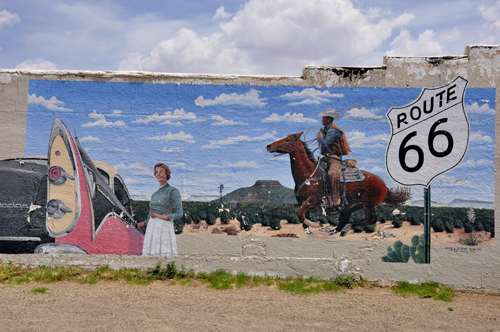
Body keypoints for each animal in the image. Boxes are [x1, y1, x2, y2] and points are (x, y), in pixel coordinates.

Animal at [266, 132, 410, 236]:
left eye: (287, 139)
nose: (269, 146)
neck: (310, 174)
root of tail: (384, 185)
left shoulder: (314, 199)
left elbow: (300, 214)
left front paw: (316, 225)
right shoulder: (303, 202)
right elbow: (303, 216)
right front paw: (310, 229)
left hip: (367, 204)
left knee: (370, 219)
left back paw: (345, 228)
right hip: (353, 205)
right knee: (347, 218)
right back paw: (337, 230)